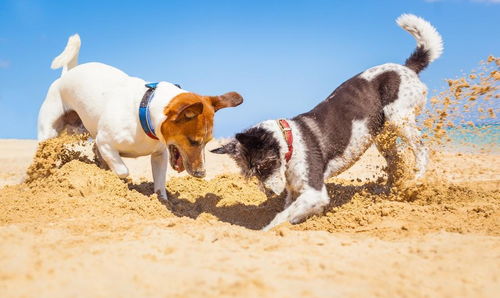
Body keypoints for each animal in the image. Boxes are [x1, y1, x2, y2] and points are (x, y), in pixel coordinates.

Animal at [38, 33, 243, 199]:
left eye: (207, 142)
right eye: (193, 141)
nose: (202, 174)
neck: (144, 113)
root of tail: (66, 75)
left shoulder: (160, 154)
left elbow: (160, 184)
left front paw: (163, 201)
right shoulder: (105, 142)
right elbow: (122, 170)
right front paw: (117, 182)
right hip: (49, 133)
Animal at [210, 14, 442, 230]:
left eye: (263, 165)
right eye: (250, 174)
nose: (267, 192)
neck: (290, 142)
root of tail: (407, 68)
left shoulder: (315, 192)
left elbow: (280, 217)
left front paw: (265, 231)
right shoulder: (296, 192)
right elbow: (290, 212)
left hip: (399, 118)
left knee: (421, 149)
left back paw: (416, 180)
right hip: (382, 135)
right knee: (396, 161)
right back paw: (389, 192)